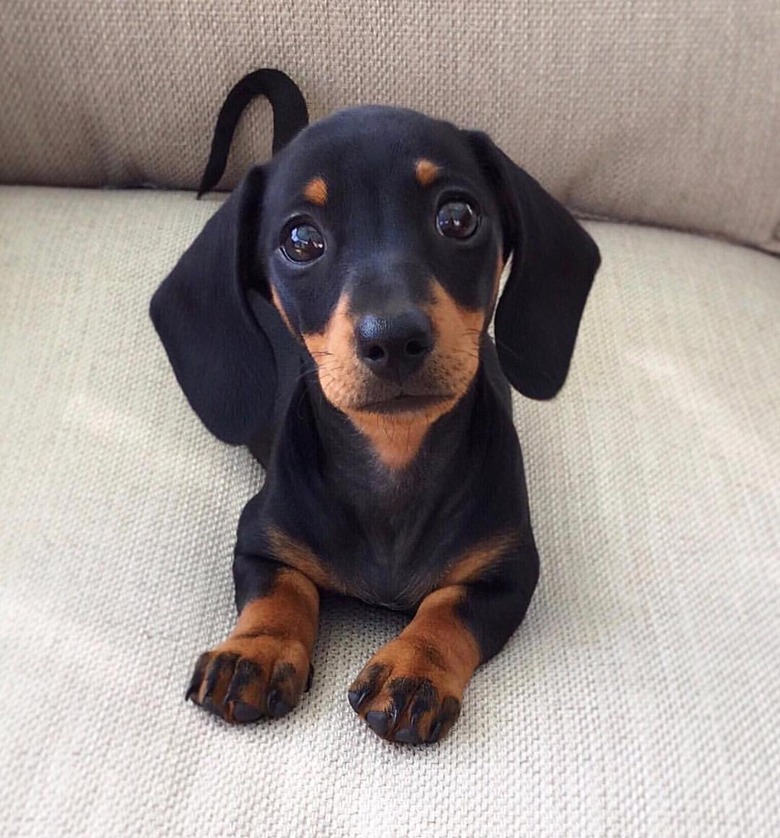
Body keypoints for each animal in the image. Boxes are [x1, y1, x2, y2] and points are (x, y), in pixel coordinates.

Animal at [152, 77, 604, 748]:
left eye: (458, 217)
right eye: (300, 240)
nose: (393, 339)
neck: (393, 456)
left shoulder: (509, 571)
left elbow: (449, 610)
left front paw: (414, 670)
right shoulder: (258, 537)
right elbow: (281, 590)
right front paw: (254, 652)